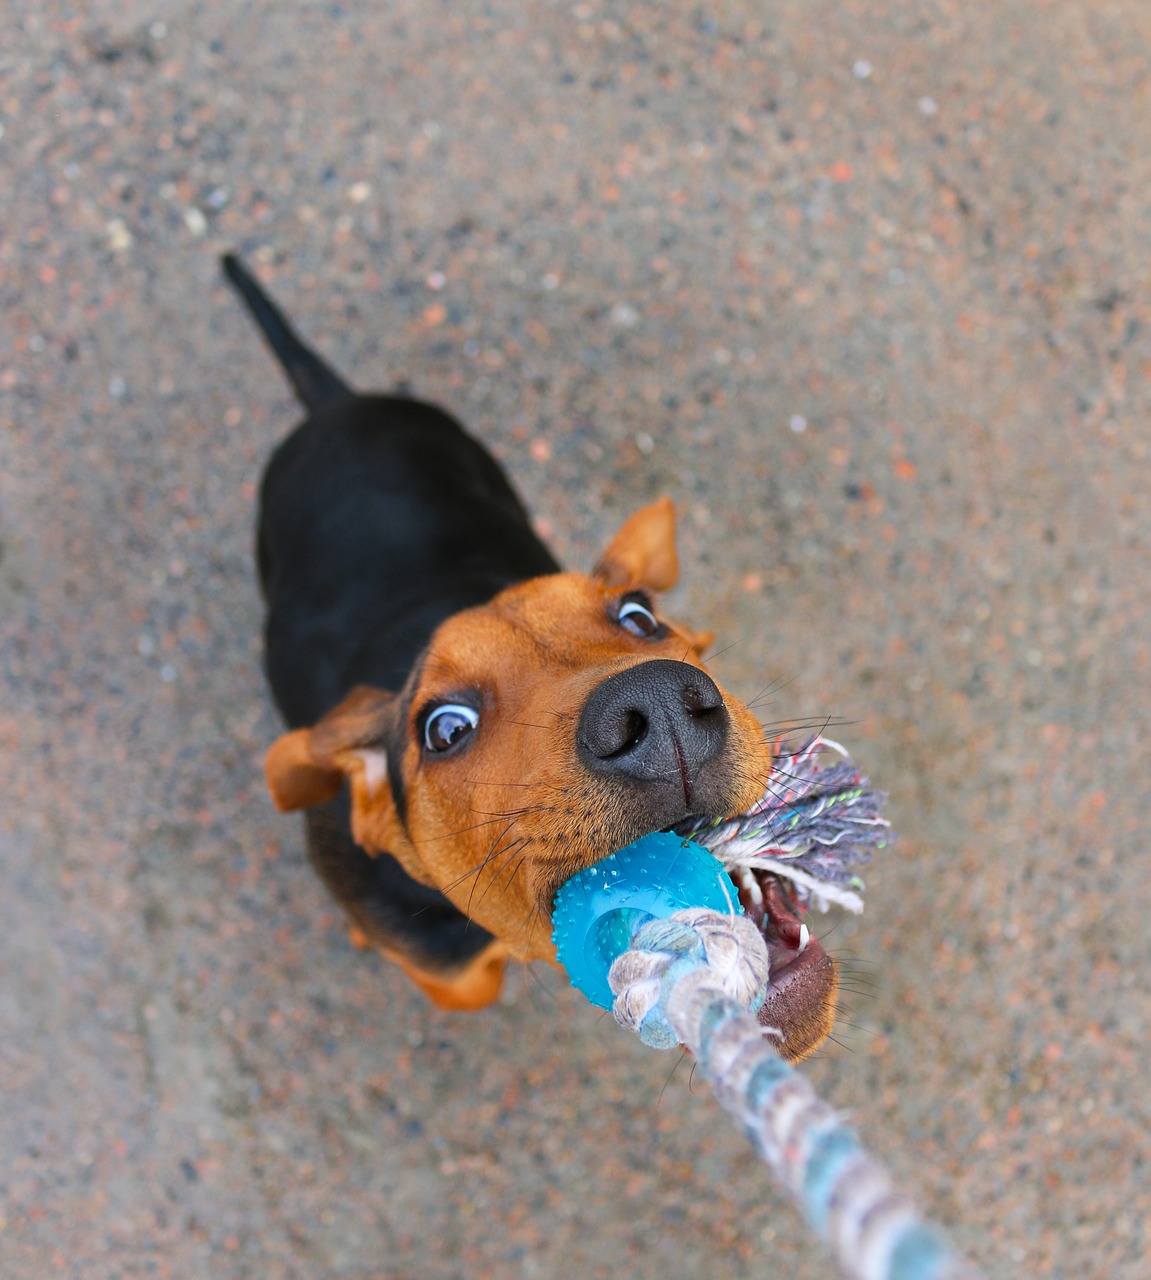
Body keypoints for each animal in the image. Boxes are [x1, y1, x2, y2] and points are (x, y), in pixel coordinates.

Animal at [225, 254, 834, 1054]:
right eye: (444, 729)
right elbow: (467, 974)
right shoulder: (446, 967)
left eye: (639, 615)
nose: (660, 710)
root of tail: (337, 405)